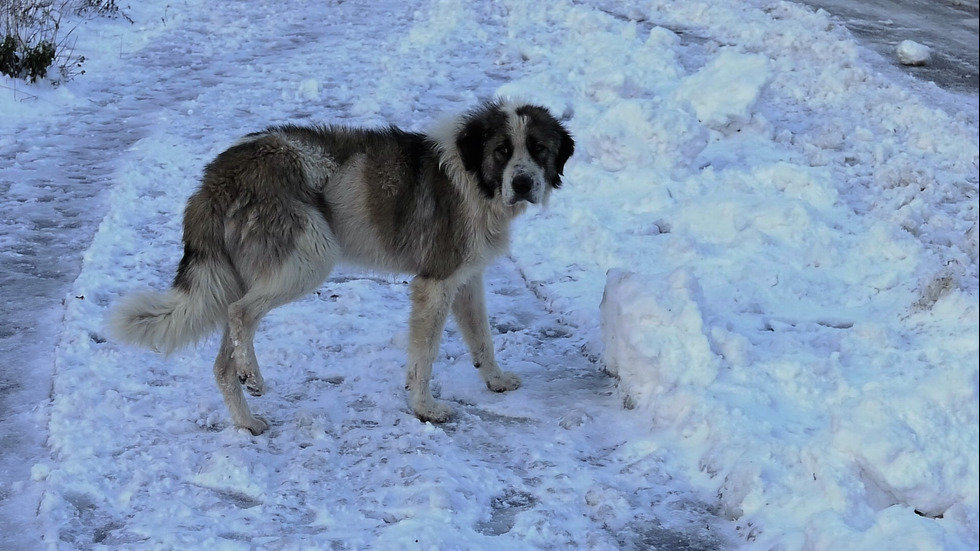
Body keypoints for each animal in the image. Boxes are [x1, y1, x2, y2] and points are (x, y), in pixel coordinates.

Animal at [109, 100, 576, 436]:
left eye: (538, 150)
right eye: (502, 152)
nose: (523, 183)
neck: (474, 177)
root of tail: (217, 176)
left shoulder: (465, 280)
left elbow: (482, 339)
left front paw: (495, 380)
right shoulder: (435, 284)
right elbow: (424, 356)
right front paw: (425, 408)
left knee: (224, 361)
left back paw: (246, 417)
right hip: (309, 257)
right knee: (239, 312)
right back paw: (254, 377)